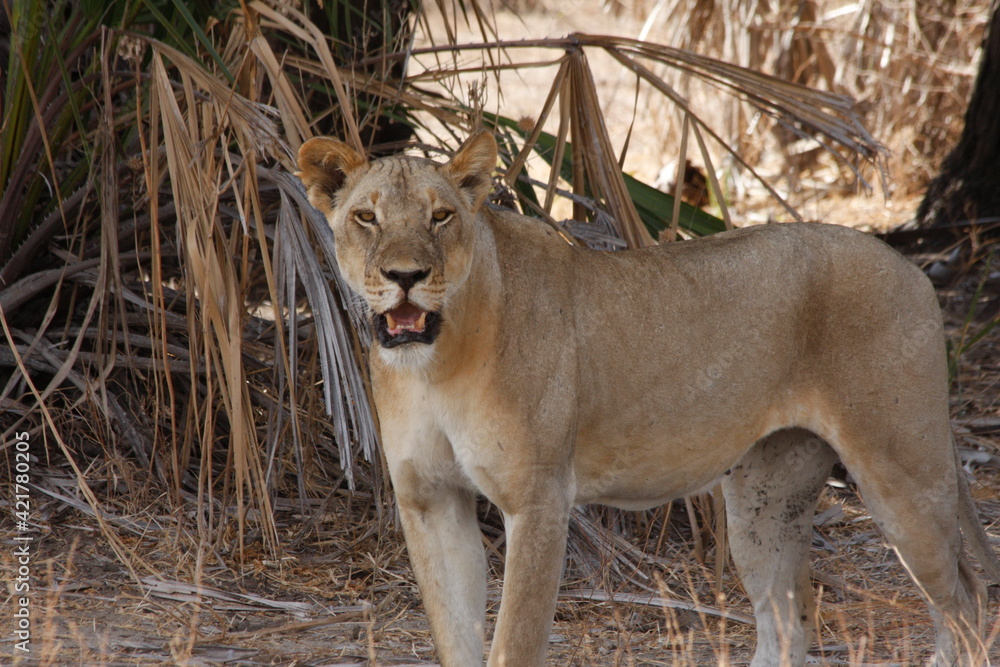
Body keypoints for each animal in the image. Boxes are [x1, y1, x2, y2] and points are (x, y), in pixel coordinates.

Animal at [296, 130, 1000, 666]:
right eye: (366, 217)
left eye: (440, 216)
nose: (405, 276)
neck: (434, 367)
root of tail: (908, 265)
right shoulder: (430, 500)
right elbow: (455, 637)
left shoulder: (538, 500)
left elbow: (513, 641)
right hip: (765, 503)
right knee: (789, 619)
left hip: (902, 473)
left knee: (965, 601)